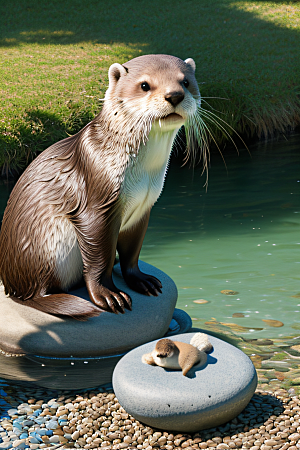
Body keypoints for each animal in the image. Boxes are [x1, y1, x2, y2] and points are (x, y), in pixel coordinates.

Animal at [0, 53, 203, 320]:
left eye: (186, 82)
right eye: (145, 85)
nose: (175, 95)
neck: (144, 175)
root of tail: (12, 284)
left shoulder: (144, 207)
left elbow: (132, 252)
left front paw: (141, 280)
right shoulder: (98, 204)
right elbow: (98, 260)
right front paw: (108, 295)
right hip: (44, 252)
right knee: (37, 294)